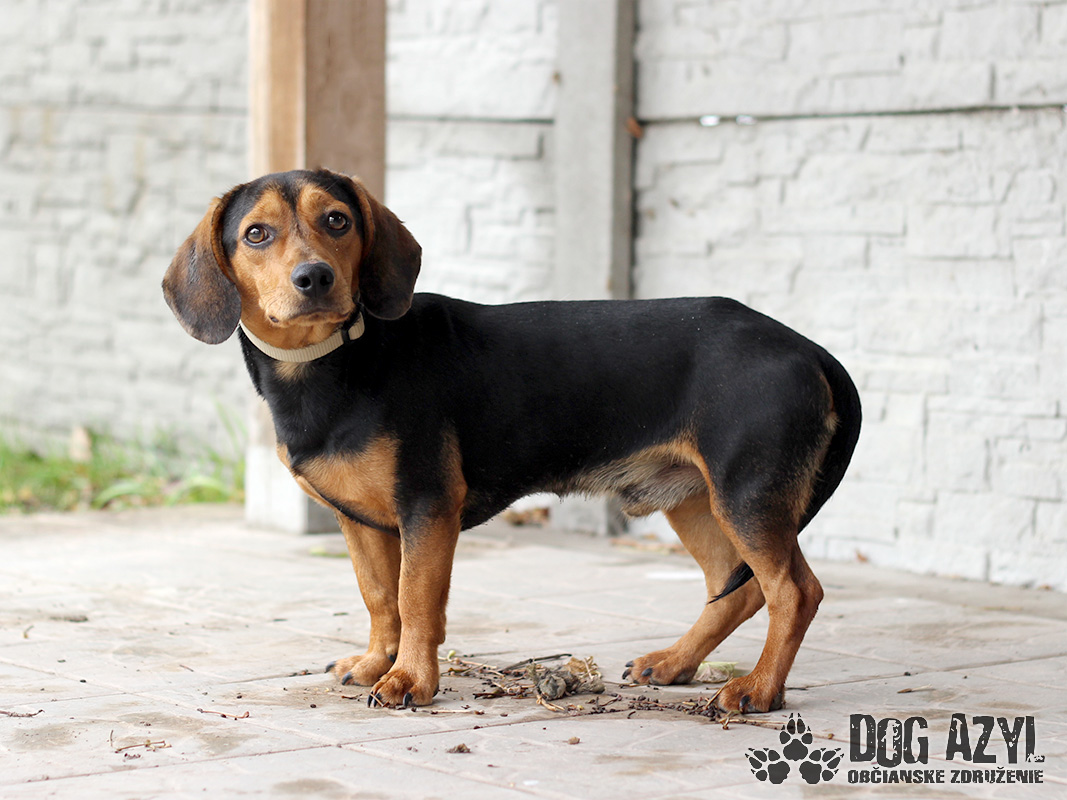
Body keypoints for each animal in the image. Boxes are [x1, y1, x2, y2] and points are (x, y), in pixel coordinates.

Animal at [163, 168, 861, 711]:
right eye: (256, 234)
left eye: (336, 221)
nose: (314, 278)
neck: (337, 361)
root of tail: (807, 349)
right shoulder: (359, 520)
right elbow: (380, 598)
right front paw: (375, 663)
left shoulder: (427, 504)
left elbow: (417, 600)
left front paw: (410, 680)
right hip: (696, 501)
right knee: (739, 591)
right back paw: (675, 662)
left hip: (747, 492)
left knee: (794, 592)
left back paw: (757, 690)